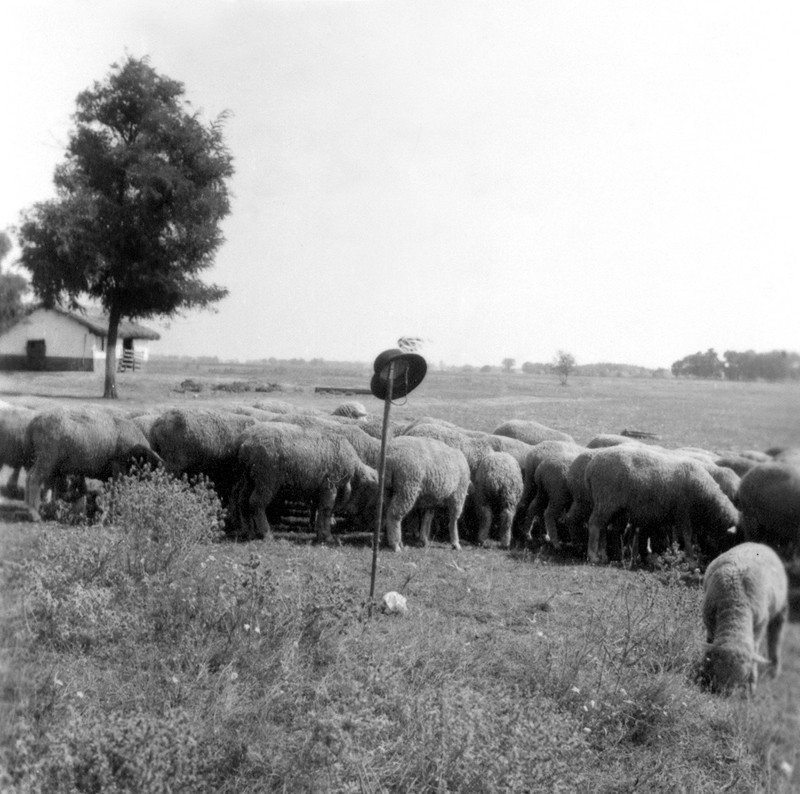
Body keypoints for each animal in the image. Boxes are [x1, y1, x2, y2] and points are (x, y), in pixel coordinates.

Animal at [23, 402, 161, 520]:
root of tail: (34, 422)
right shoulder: (118, 468)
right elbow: (116, 492)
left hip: (44, 459)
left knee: (30, 477)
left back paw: (33, 508)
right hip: (47, 458)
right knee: (34, 478)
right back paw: (34, 514)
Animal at [233, 424, 380, 540]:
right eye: (373, 491)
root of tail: (245, 441)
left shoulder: (320, 490)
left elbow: (320, 510)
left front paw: (319, 531)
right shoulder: (329, 485)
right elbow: (326, 509)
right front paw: (326, 536)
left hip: (249, 479)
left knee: (242, 501)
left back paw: (248, 532)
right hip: (266, 479)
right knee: (256, 503)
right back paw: (266, 533)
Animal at [580, 446, 736, 564]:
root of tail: (590, 467)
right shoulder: (683, 512)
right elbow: (687, 535)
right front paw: (691, 560)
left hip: (610, 505)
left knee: (603, 526)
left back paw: (604, 555)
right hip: (606, 500)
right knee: (594, 524)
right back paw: (593, 556)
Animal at [700, 540, 788, 692]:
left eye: (744, 675)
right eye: (717, 671)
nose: (724, 694)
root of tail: (758, 543)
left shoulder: (760, 624)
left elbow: (756, 647)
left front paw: (751, 686)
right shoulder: (709, 622)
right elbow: (709, 643)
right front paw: (704, 669)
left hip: (780, 610)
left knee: (776, 638)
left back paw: (773, 673)